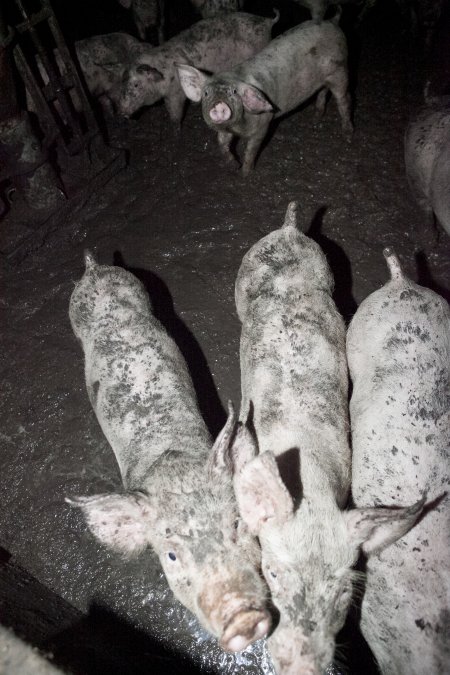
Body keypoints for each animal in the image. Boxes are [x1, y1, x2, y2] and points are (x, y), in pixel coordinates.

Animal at [117, 11, 279, 123]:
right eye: (123, 82)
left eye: (137, 85)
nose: (121, 112)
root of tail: (266, 21)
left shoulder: (176, 93)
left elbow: (176, 114)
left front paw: (176, 131)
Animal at [177, 16, 353, 175]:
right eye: (206, 93)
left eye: (234, 92)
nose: (219, 103)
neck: (238, 128)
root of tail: (332, 23)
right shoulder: (226, 129)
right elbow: (221, 142)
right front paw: (234, 164)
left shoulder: (263, 124)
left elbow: (251, 149)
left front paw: (246, 173)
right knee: (323, 92)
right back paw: (316, 119)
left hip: (340, 70)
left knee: (344, 99)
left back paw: (348, 133)